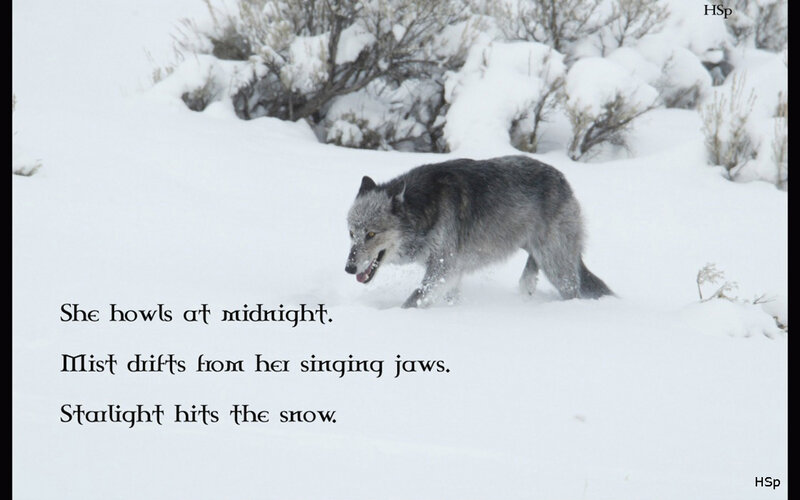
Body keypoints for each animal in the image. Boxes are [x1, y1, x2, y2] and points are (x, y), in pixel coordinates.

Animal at [345, 155, 612, 308]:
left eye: (371, 234)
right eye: (351, 233)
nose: (349, 268)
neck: (424, 209)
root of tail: (563, 180)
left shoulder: (444, 268)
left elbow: (412, 301)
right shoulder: (448, 274)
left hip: (556, 266)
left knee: (572, 290)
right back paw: (526, 288)